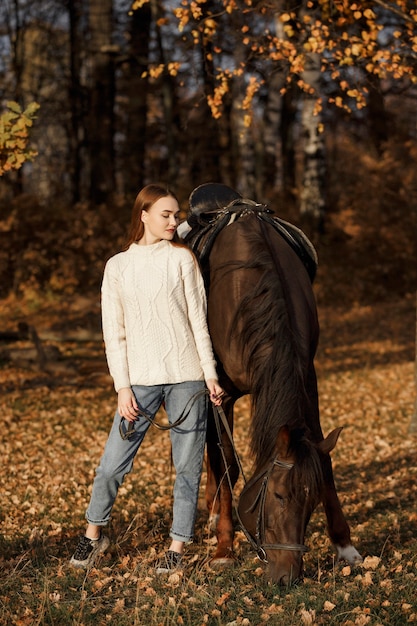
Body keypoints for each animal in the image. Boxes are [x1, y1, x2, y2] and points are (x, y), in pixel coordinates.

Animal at [182, 183, 360, 584]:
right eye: (277, 496)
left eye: (311, 503)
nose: (287, 577)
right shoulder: (223, 394)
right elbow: (227, 464)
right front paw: (224, 548)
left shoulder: (307, 378)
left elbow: (323, 459)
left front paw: (344, 545)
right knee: (215, 454)